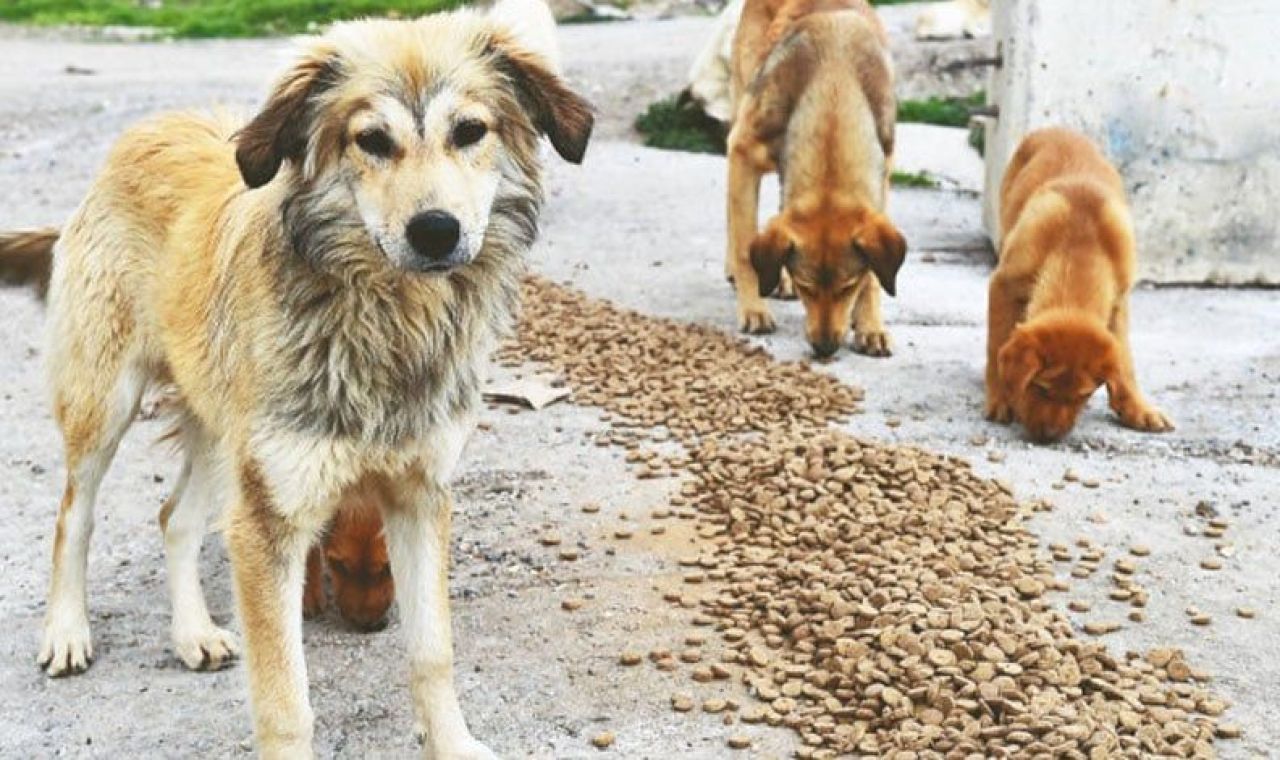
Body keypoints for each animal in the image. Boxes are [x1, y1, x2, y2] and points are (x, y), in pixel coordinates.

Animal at [727, 0, 906, 355]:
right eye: (805, 286)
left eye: (847, 286)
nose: (825, 348)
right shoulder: (741, 152)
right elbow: (744, 246)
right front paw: (753, 308)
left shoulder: (884, 174)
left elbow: (874, 277)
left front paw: (870, 324)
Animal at [983, 127, 1172, 440]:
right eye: (1040, 386)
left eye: (1084, 395)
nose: (1049, 437)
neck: (1079, 247)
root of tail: (1054, 129)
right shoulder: (1003, 285)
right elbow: (996, 342)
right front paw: (1000, 397)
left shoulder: (1119, 303)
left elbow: (1126, 363)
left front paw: (1137, 407)